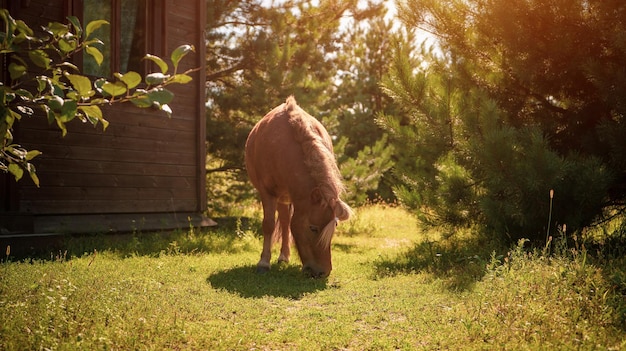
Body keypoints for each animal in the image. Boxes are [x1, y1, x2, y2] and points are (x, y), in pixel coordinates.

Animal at [244, 95, 352, 278]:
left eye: (335, 226)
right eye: (313, 228)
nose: (323, 272)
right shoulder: (267, 193)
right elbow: (268, 225)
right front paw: (264, 263)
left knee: (286, 222)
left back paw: (284, 256)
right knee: (284, 222)